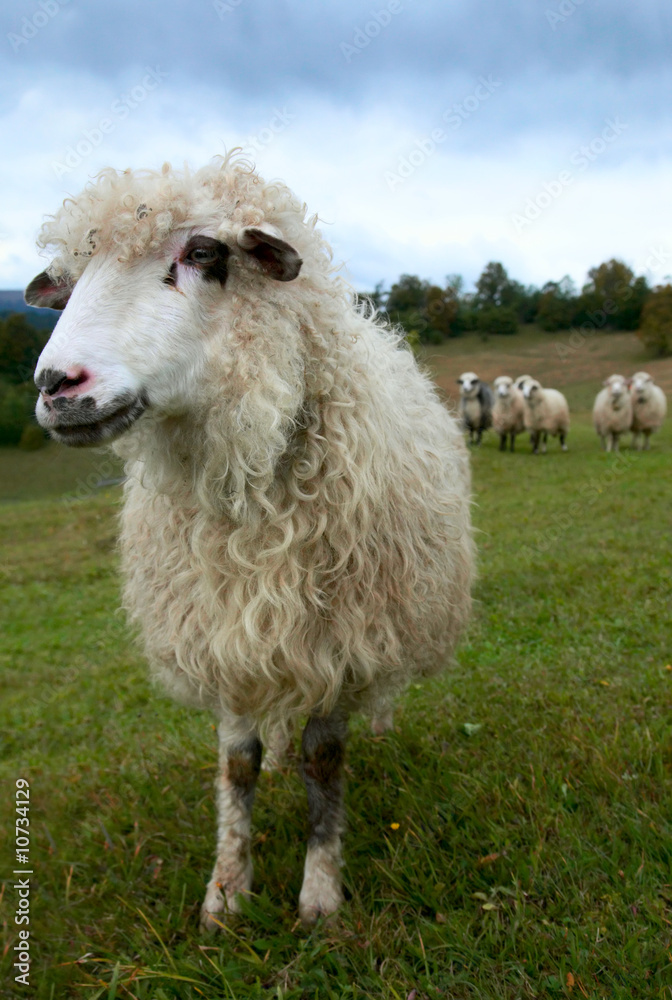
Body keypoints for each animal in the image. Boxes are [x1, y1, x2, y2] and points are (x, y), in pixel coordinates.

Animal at [28, 154, 476, 928]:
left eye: (205, 253)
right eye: (71, 278)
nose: (58, 385)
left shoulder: (341, 635)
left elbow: (324, 760)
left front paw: (319, 897)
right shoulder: (223, 624)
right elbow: (237, 764)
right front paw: (226, 893)